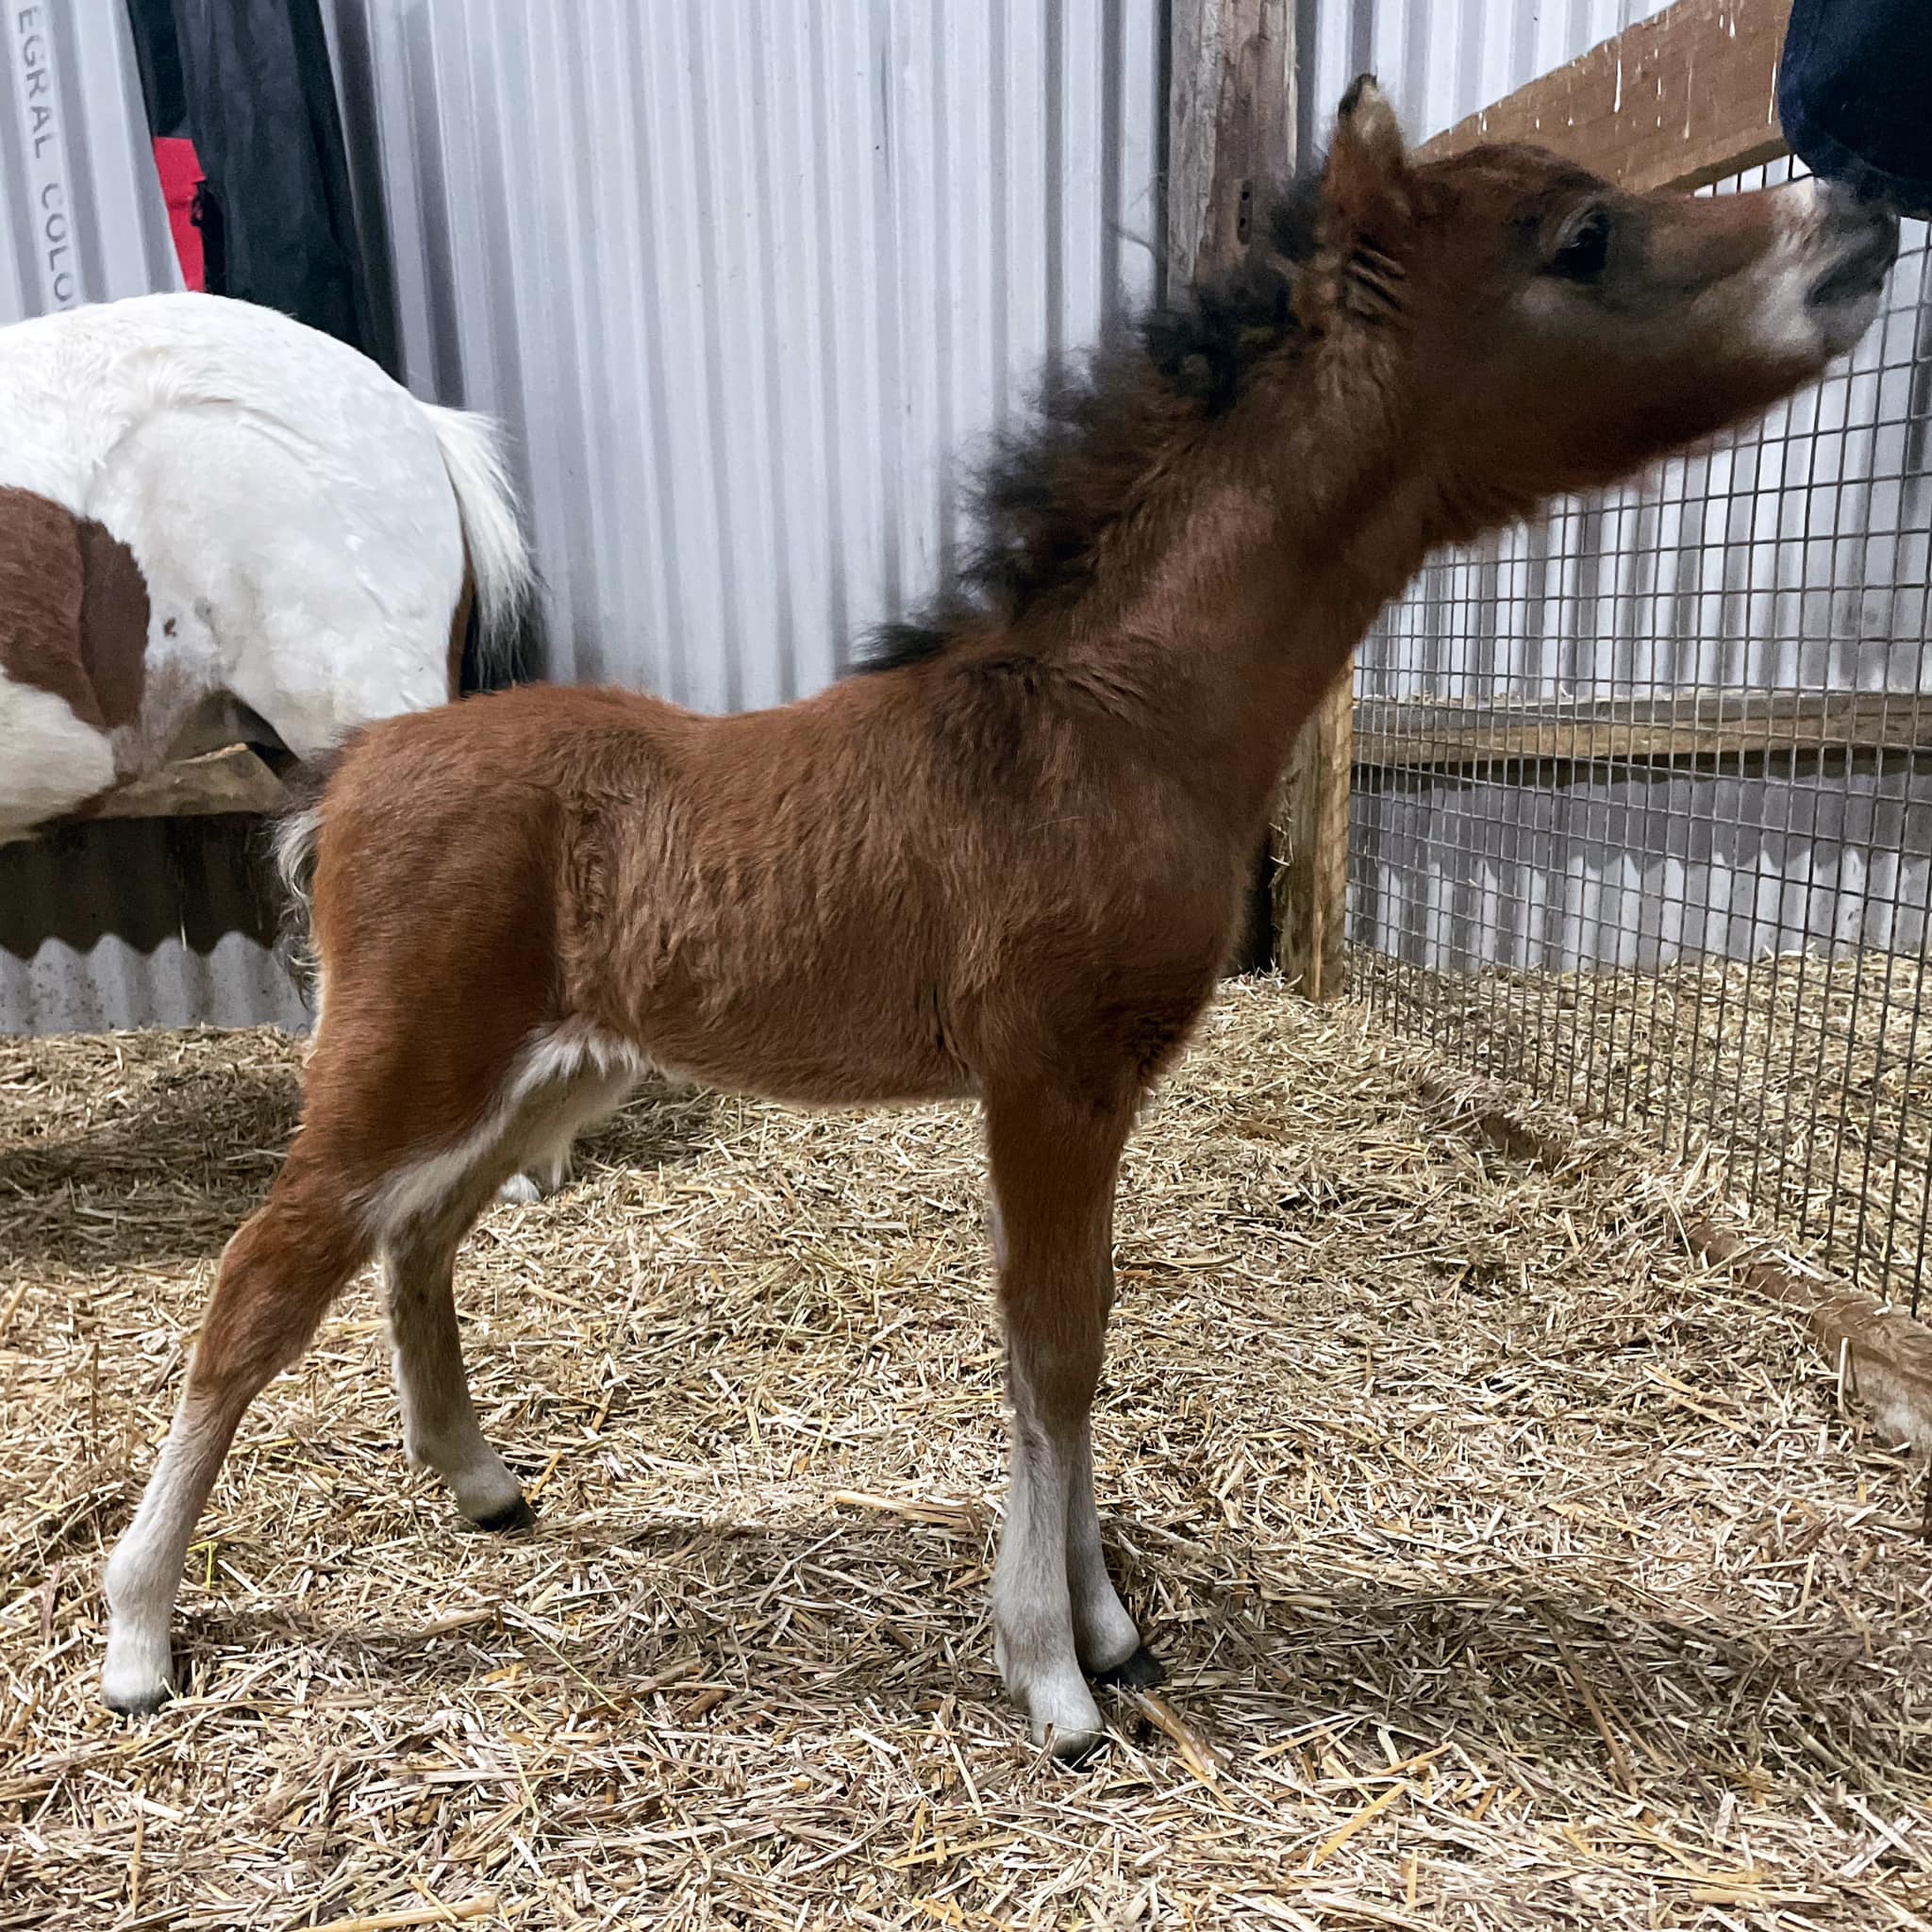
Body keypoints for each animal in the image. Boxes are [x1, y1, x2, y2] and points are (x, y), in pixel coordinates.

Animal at [101, 81, 1898, 1759]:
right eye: (1582, 238)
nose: (1862, 217)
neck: (1119, 713)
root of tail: (360, 761)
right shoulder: (1045, 1077)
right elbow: (1051, 1340)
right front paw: (1052, 1670)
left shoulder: (1100, 1089)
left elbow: (1079, 1330)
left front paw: (1106, 1626)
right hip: (406, 1063)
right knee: (261, 1280)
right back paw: (138, 1634)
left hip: (547, 1073)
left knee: (412, 1240)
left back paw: (474, 1479)